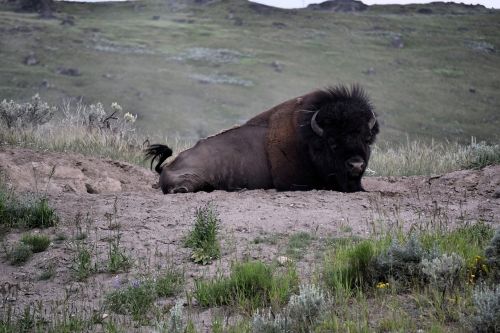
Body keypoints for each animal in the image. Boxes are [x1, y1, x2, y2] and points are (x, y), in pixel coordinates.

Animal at [145, 84, 378, 193]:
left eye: (367, 139)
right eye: (332, 142)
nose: (356, 165)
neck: (308, 143)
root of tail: (167, 166)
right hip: (193, 177)